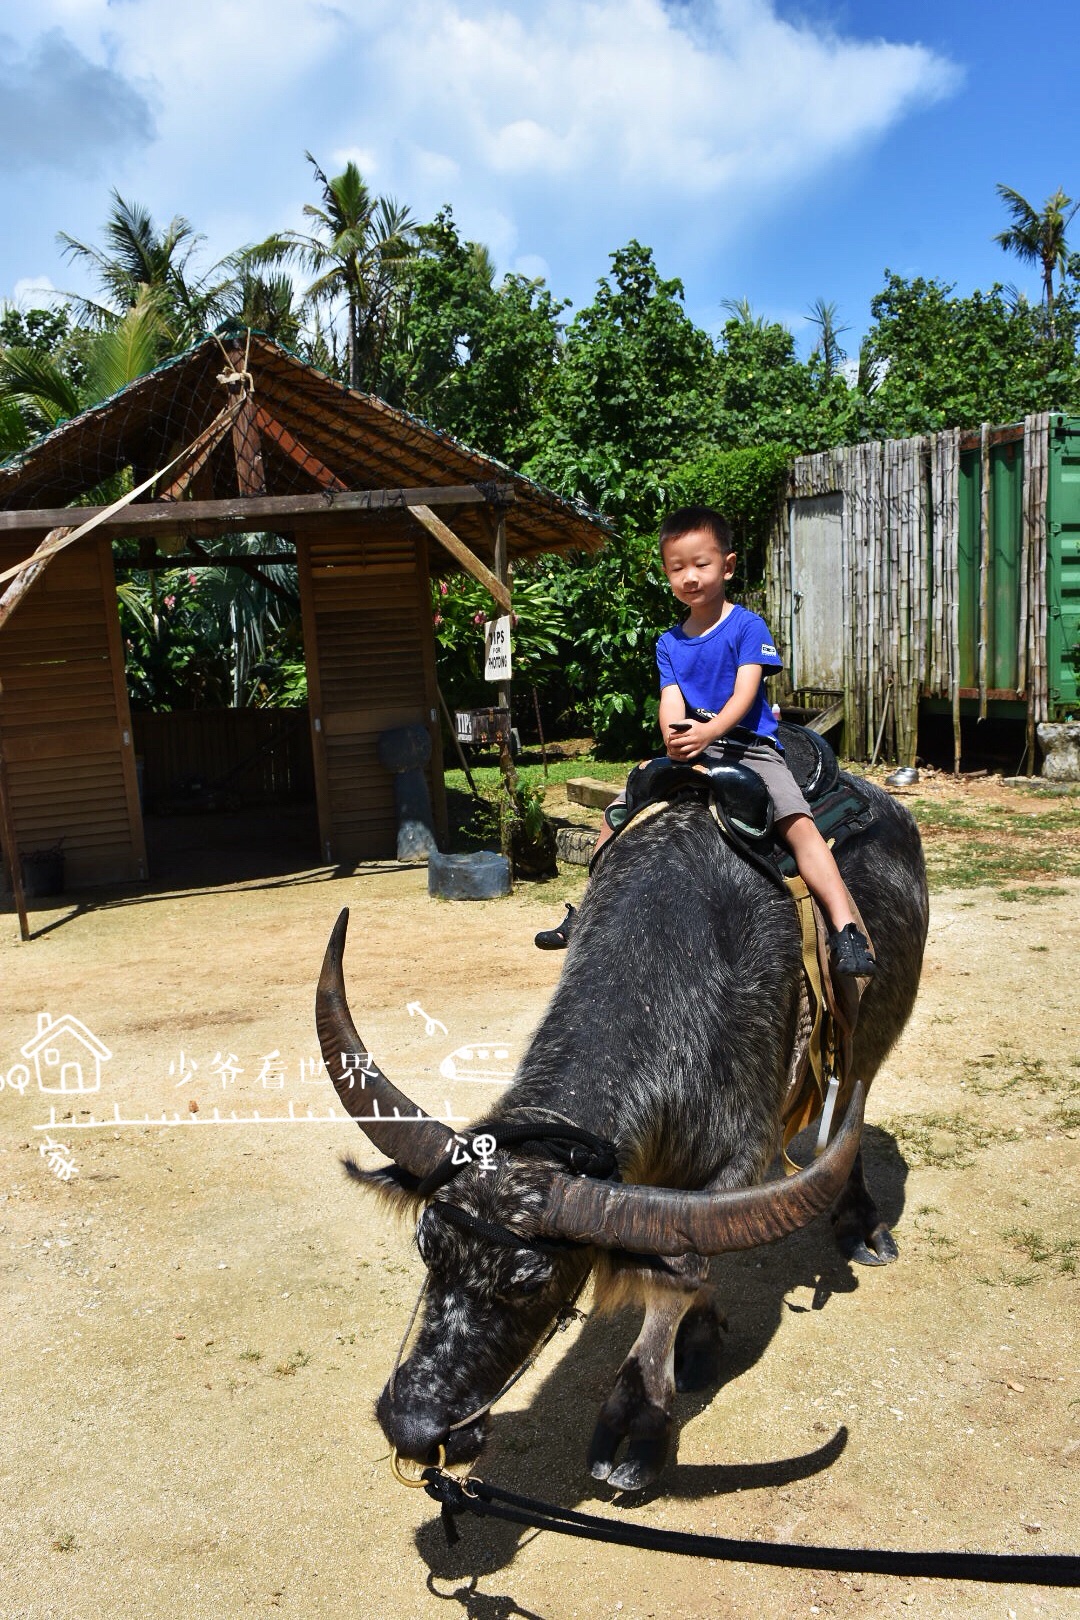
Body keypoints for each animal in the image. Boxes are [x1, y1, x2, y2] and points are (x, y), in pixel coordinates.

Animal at [314, 777, 932, 1483]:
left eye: (533, 1283)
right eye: (427, 1247)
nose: (415, 1426)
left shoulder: (740, 1155)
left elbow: (678, 1277)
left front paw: (639, 1420)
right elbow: (686, 1258)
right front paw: (699, 1342)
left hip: (869, 1043)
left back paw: (862, 1228)